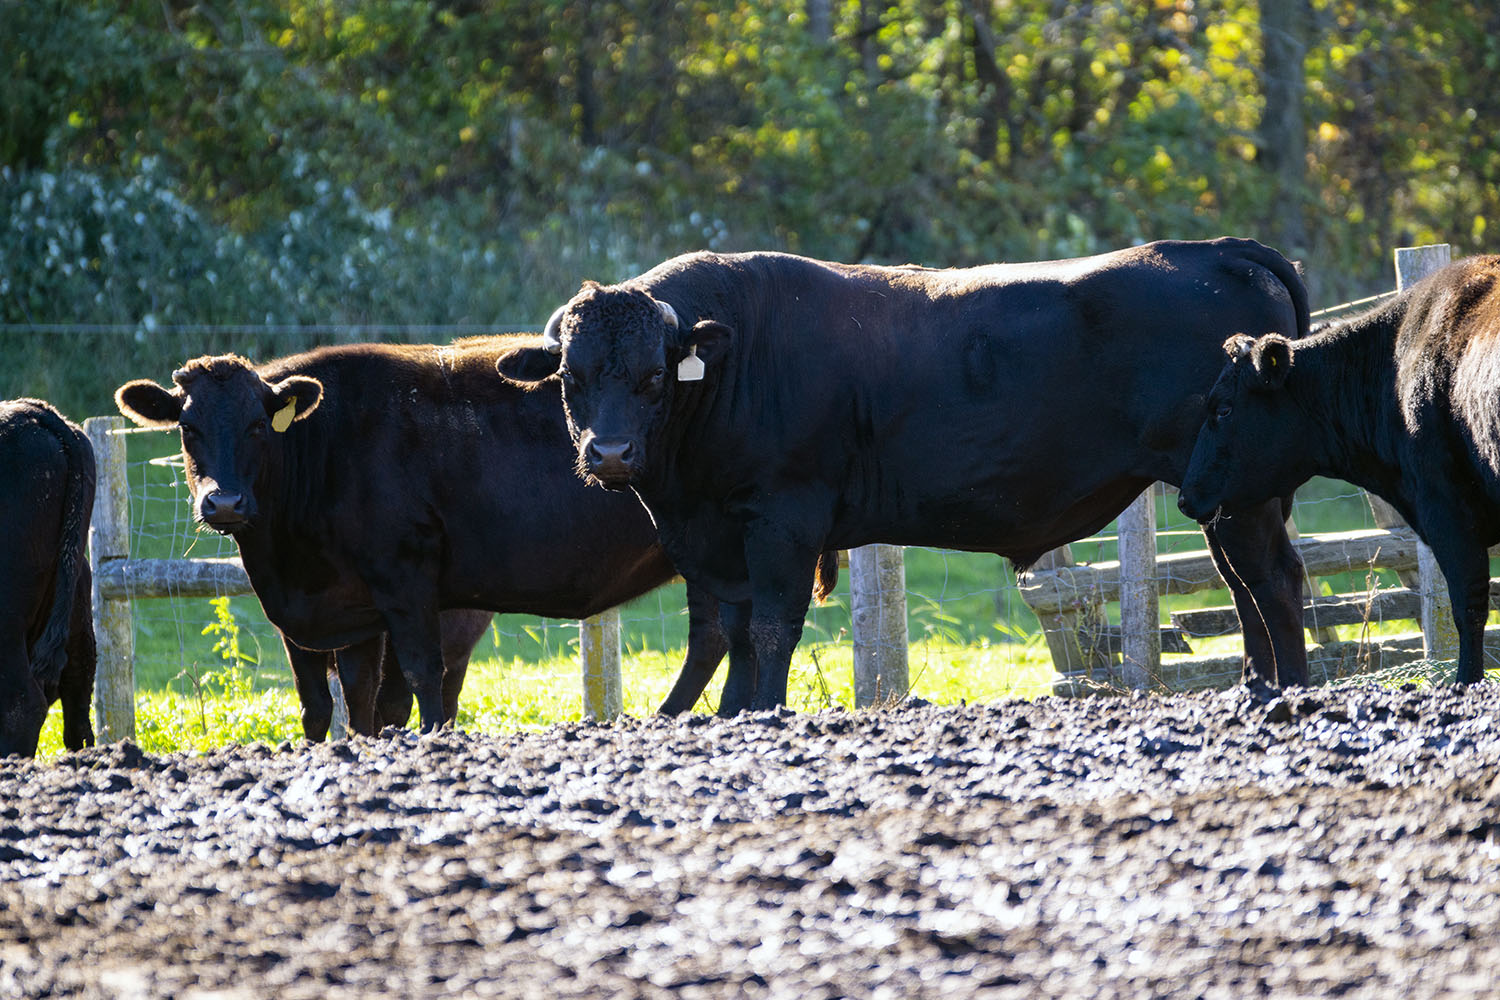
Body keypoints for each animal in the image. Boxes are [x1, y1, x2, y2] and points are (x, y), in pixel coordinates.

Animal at [112, 338, 732, 734]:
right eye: (187, 427)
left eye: (258, 426)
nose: (224, 503)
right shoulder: (332, 610)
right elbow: (337, 701)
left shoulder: (404, 576)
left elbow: (417, 676)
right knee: (714, 636)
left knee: (717, 634)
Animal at [498, 239, 1308, 716]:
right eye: (571, 377)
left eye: (651, 377)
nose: (609, 454)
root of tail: (1212, 250)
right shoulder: (718, 535)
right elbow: (732, 630)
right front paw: (731, 713)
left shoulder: (783, 518)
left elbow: (770, 625)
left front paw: (764, 711)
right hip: (1224, 494)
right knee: (1242, 584)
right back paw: (1256, 684)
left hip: (1245, 494)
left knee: (1271, 578)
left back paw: (1289, 690)